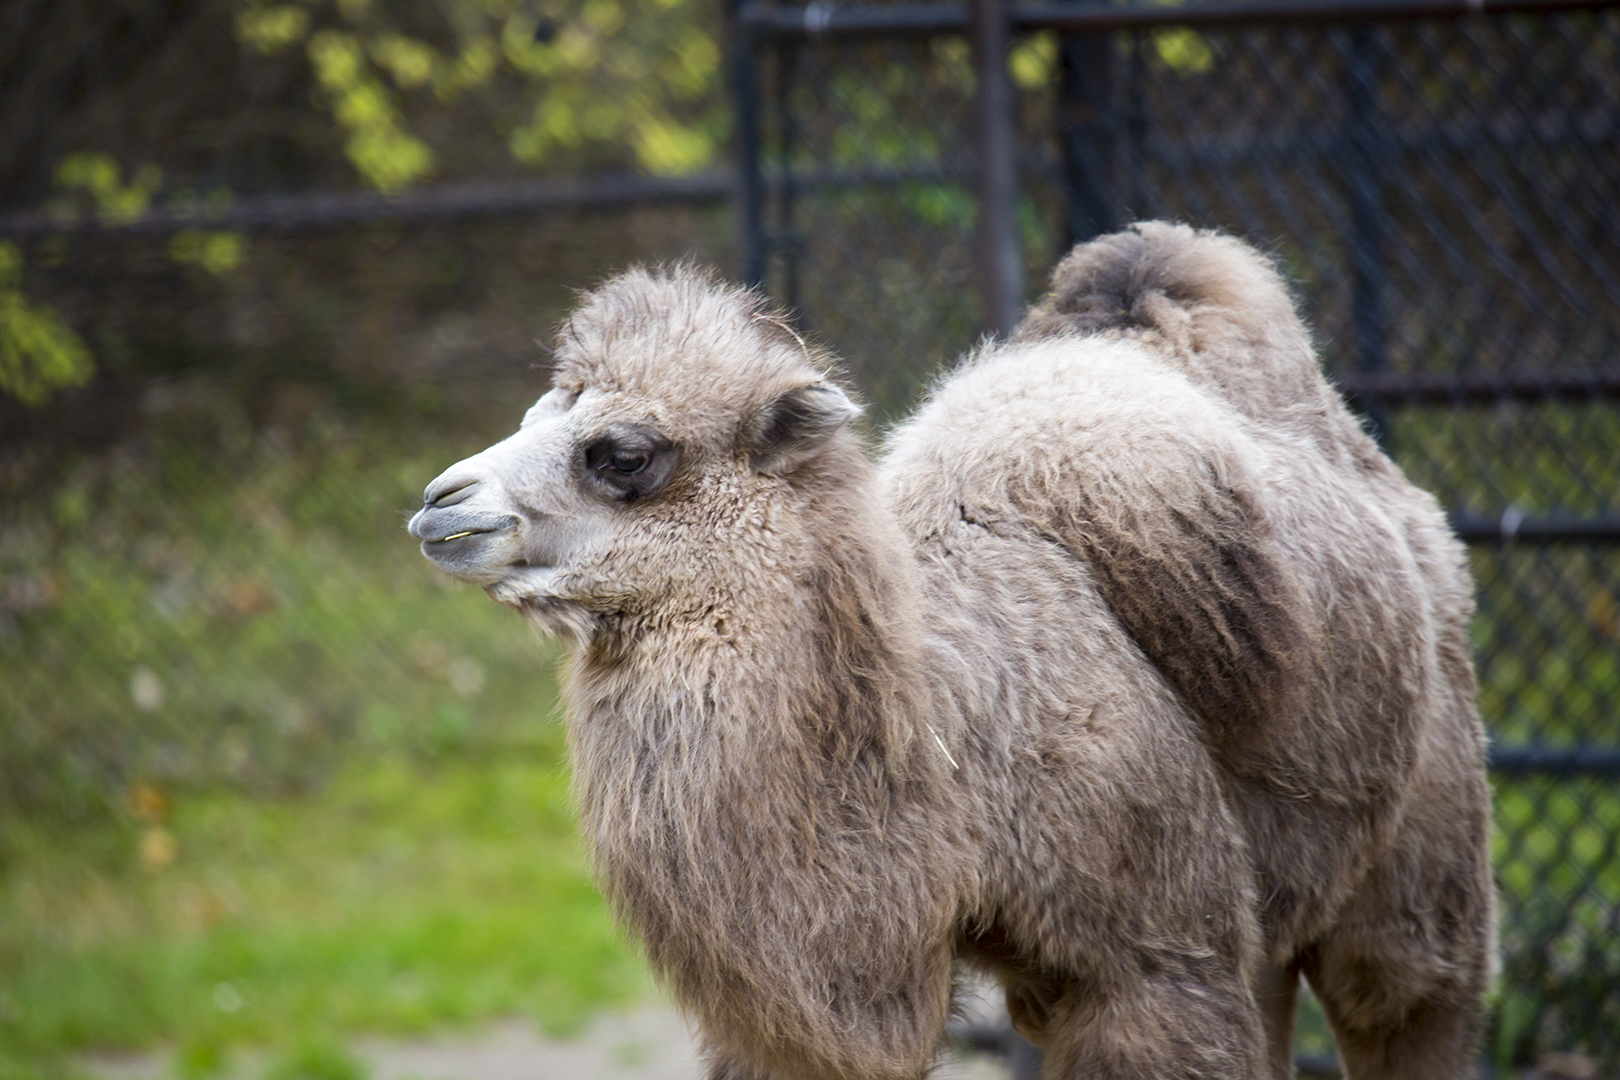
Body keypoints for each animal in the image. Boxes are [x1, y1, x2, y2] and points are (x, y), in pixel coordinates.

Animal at [407, 222, 1495, 1080]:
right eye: (535, 413)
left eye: (624, 454)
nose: (440, 503)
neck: (951, 758)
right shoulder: (797, 1021)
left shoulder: (1154, 958)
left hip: (1424, 845)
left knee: (1407, 993)